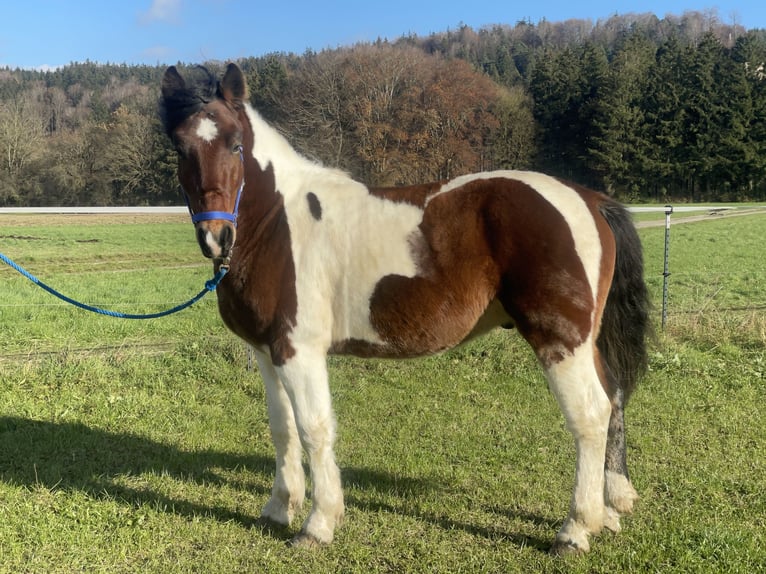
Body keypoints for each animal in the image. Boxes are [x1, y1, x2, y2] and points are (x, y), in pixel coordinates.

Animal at [162, 64, 656, 560]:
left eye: (236, 145)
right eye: (180, 148)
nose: (216, 237)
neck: (277, 225)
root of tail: (589, 199)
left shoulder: (299, 351)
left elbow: (314, 428)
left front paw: (318, 524)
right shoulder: (267, 352)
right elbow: (282, 429)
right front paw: (279, 508)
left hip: (560, 340)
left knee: (590, 414)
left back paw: (575, 528)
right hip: (585, 341)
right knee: (613, 399)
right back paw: (609, 511)